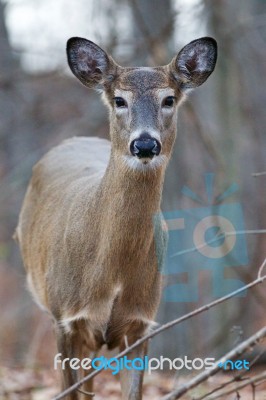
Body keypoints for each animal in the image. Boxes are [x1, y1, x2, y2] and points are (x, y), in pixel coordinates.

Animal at [15, 36, 216, 398]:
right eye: (120, 100)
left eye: (168, 99)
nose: (145, 143)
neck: (112, 271)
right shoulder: (65, 318)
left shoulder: (140, 323)